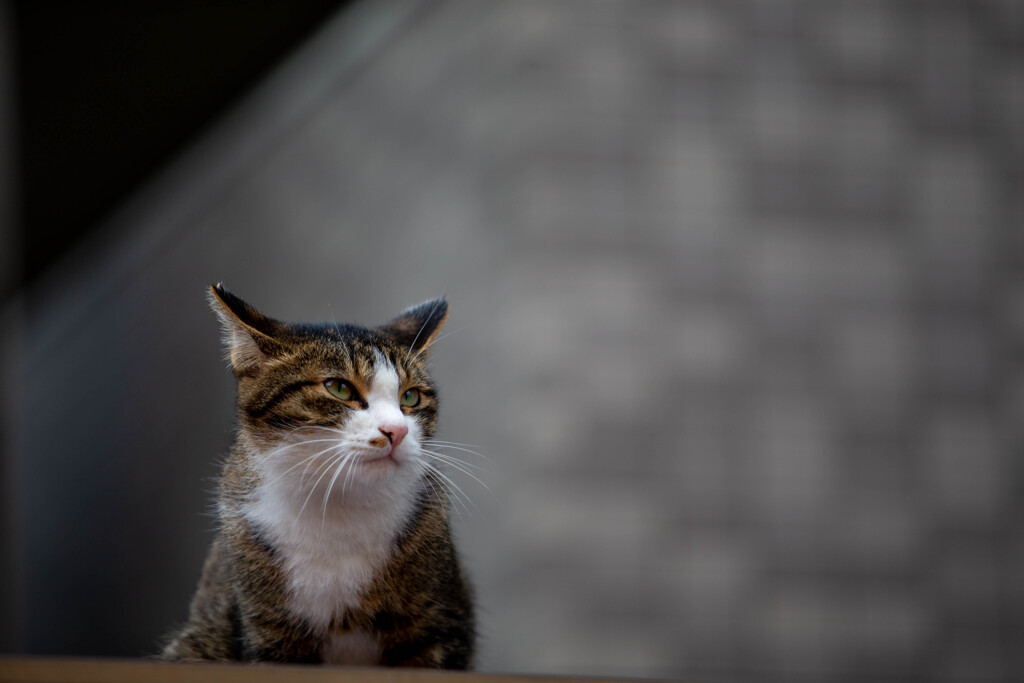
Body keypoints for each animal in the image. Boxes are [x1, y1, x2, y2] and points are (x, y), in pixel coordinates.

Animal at [159, 282, 475, 667]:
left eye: (411, 397)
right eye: (339, 388)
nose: (397, 431)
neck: (337, 506)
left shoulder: (437, 620)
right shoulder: (270, 630)